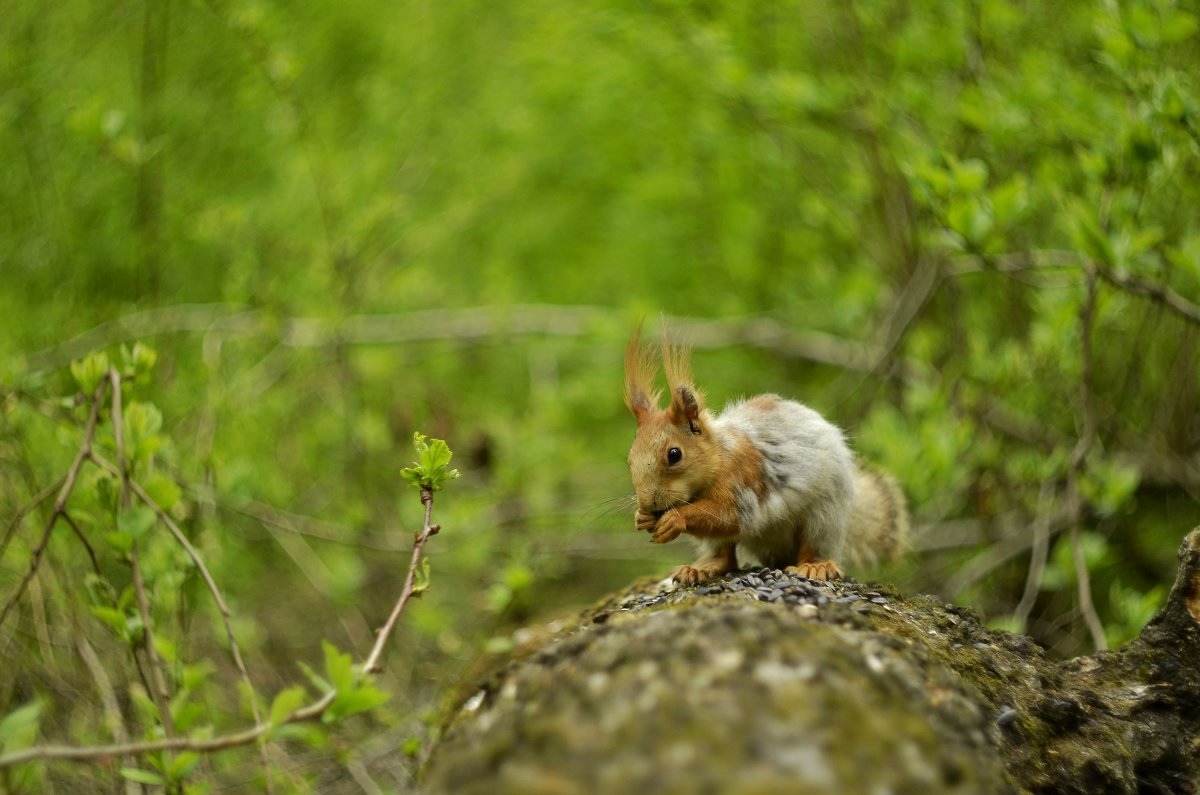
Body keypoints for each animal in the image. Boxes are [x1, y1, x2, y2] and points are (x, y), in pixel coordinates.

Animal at [628, 329, 907, 586]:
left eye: (674, 454)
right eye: (630, 458)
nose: (648, 504)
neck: (720, 458)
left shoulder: (744, 480)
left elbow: (729, 516)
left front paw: (675, 518)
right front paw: (641, 518)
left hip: (824, 515)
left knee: (815, 546)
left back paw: (815, 566)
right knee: (724, 555)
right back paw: (702, 568)